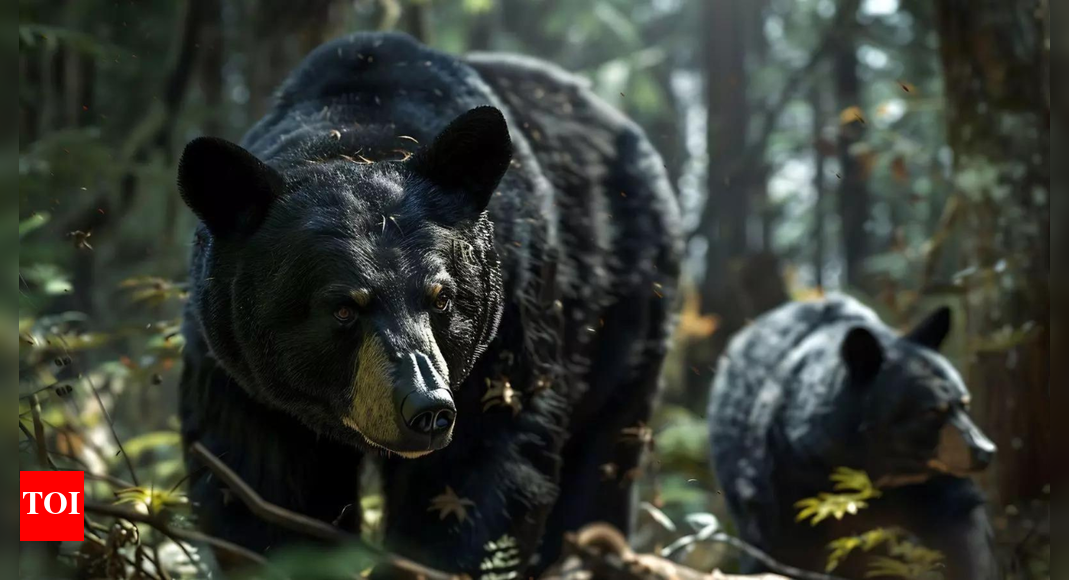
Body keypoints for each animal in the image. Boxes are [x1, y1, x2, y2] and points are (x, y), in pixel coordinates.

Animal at [176, 31, 682, 577]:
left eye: (442, 298)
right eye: (344, 308)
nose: (426, 409)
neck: (357, 131)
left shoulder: (512, 322)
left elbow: (479, 471)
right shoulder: (236, 370)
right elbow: (257, 484)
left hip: (629, 307)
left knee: (606, 449)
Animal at [707, 295, 1000, 580]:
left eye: (965, 402)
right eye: (931, 411)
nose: (984, 451)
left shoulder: (934, 480)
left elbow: (960, 528)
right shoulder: (788, 475)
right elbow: (785, 545)